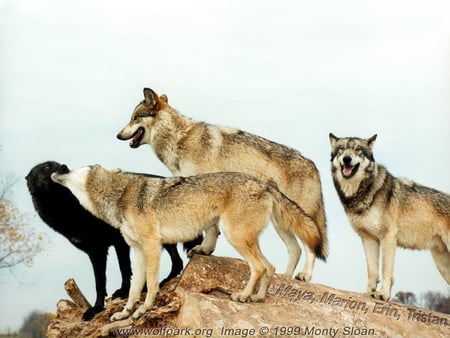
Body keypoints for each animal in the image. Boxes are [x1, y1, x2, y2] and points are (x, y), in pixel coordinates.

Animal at [26, 161, 198, 320]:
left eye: (56, 164)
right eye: (46, 167)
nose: (63, 166)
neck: (68, 208)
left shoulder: (119, 242)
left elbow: (124, 270)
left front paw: (124, 292)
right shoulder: (95, 251)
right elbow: (100, 281)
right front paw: (96, 308)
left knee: (177, 260)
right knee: (177, 261)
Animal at [51, 165, 326, 320]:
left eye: (76, 169)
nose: (59, 167)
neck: (120, 196)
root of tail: (265, 184)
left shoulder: (152, 245)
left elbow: (150, 285)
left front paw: (143, 310)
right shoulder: (138, 250)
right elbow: (133, 288)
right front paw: (125, 313)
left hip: (235, 237)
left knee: (260, 267)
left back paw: (243, 296)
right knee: (270, 267)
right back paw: (256, 298)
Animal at [116, 88, 326, 282]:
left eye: (135, 118)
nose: (118, 135)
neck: (180, 138)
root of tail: (313, 165)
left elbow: (210, 229)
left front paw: (204, 249)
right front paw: (206, 250)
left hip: (298, 218)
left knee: (310, 245)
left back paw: (304, 276)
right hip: (281, 221)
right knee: (295, 249)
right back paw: (283, 279)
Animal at [326, 133, 450, 300]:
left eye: (358, 149)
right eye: (342, 149)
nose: (346, 159)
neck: (364, 192)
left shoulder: (388, 238)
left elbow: (385, 270)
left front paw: (383, 294)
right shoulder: (368, 238)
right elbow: (372, 271)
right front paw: (368, 293)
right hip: (442, 265)